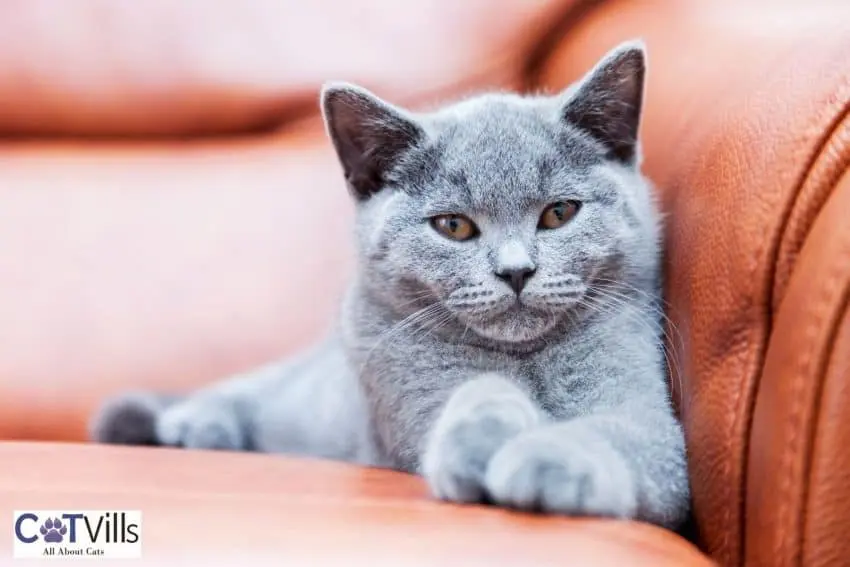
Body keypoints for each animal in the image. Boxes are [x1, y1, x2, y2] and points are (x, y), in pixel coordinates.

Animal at [91, 41, 688, 532]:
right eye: (454, 226)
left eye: (559, 213)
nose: (516, 271)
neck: (526, 358)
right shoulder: (408, 389)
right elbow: (474, 392)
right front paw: (478, 443)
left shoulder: (653, 424)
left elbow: (619, 434)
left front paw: (546, 459)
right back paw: (191, 422)